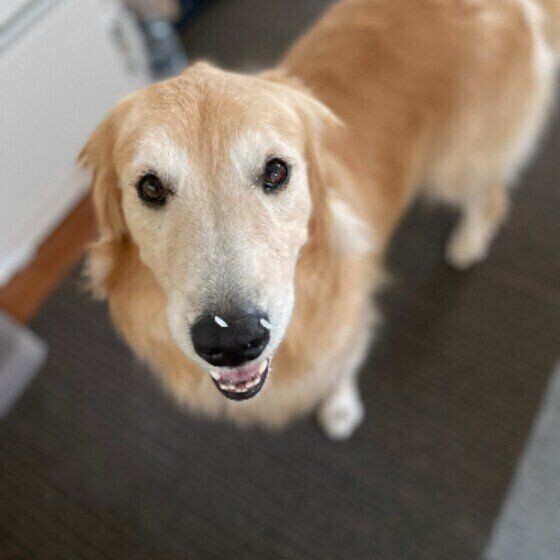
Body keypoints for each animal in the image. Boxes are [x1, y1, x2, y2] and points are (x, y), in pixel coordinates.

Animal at [81, 0, 556, 438]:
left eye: (276, 171)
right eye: (150, 187)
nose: (231, 341)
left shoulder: (347, 315)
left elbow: (343, 362)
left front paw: (341, 407)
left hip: (456, 165)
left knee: (491, 193)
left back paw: (468, 241)